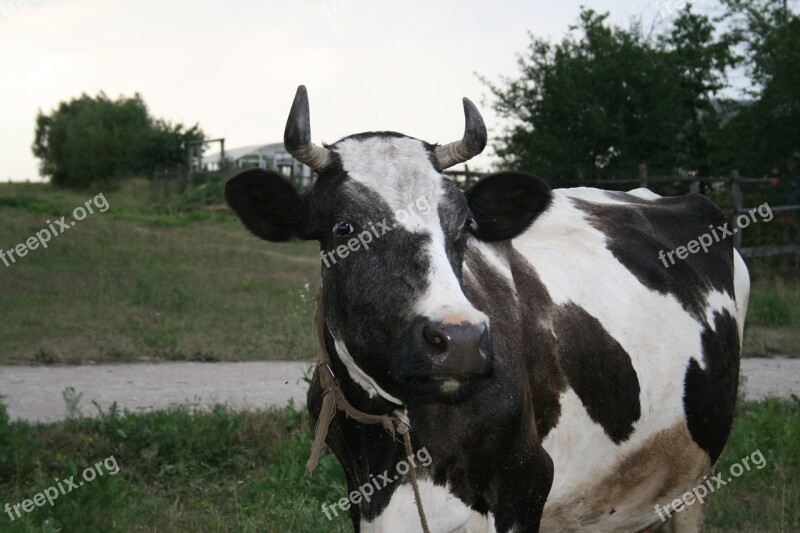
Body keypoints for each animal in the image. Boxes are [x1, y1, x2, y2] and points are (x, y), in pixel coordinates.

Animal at [225, 85, 752, 528]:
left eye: (463, 226)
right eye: (344, 228)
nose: (459, 340)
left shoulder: (527, 483)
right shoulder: (360, 495)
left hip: (693, 479)